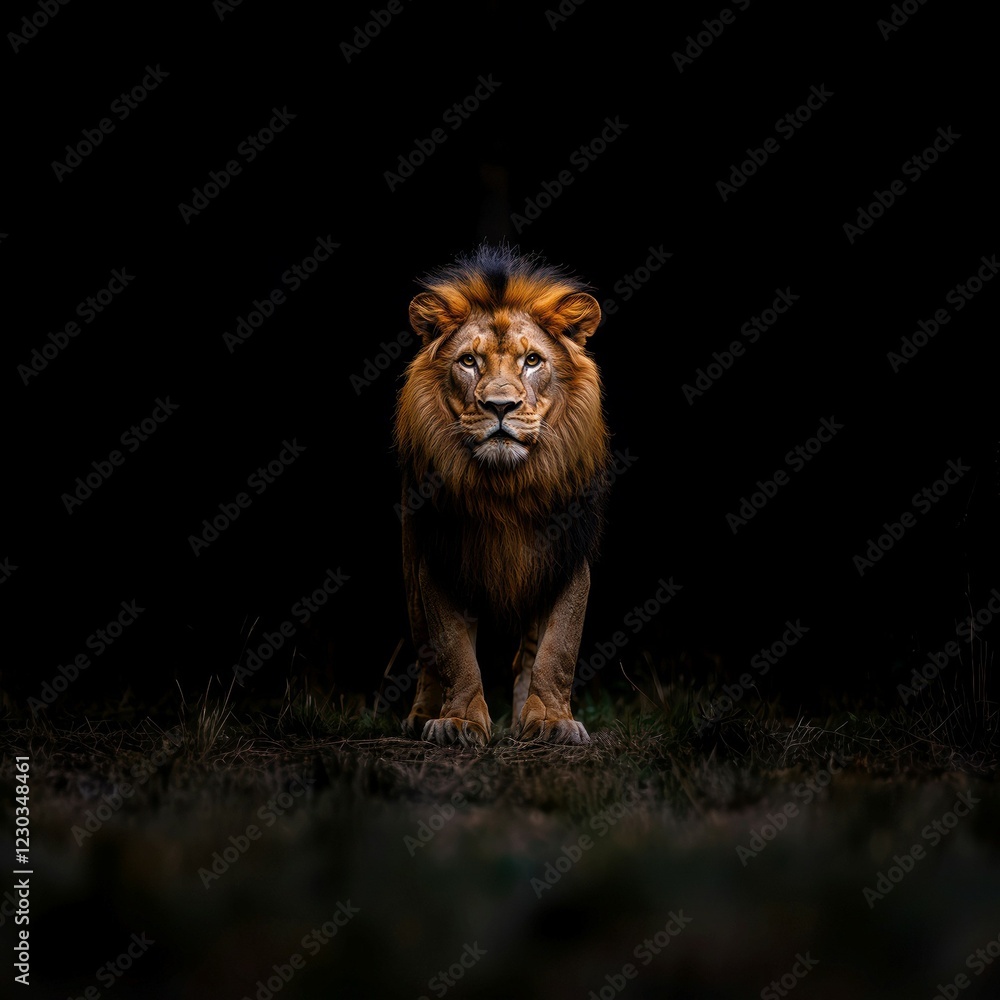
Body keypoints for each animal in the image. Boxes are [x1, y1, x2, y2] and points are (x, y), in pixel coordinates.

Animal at [394, 244, 611, 746]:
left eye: (532, 361)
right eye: (468, 362)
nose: (500, 406)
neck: (505, 488)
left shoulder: (567, 554)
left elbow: (559, 648)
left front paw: (551, 720)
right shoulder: (440, 556)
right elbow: (452, 650)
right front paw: (459, 721)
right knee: (426, 652)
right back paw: (421, 714)